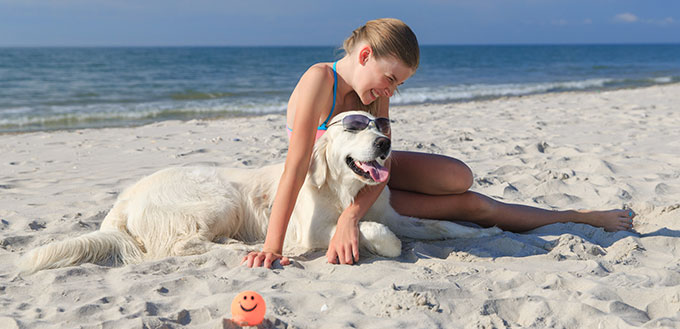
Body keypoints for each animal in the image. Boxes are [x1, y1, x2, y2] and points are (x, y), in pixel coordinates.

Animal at [18, 111, 502, 272]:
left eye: (379, 126)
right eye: (353, 127)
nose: (384, 144)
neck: (345, 189)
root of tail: (122, 200)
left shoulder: (394, 212)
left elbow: (433, 224)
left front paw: (479, 232)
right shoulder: (311, 232)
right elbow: (374, 233)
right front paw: (382, 243)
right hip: (217, 197)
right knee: (182, 245)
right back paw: (238, 248)